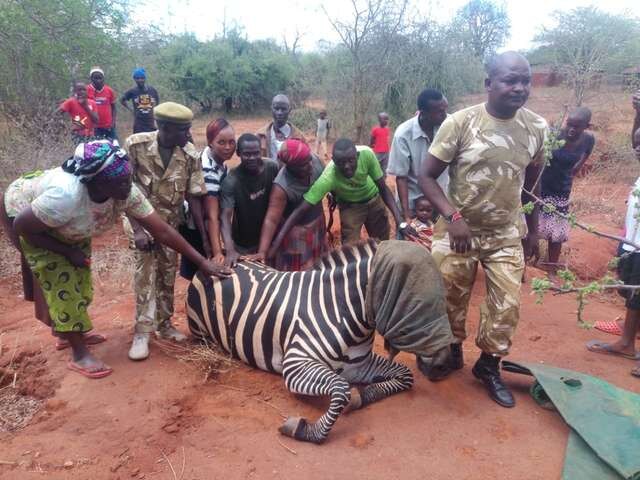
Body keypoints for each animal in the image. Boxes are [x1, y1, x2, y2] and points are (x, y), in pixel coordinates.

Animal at [186, 240, 456, 442]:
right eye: (416, 302)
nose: (444, 364)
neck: (342, 310)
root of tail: (217, 258)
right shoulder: (296, 364)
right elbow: (341, 390)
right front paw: (303, 429)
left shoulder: (360, 365)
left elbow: (405, 376)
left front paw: (361, 395)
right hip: (201, 331)